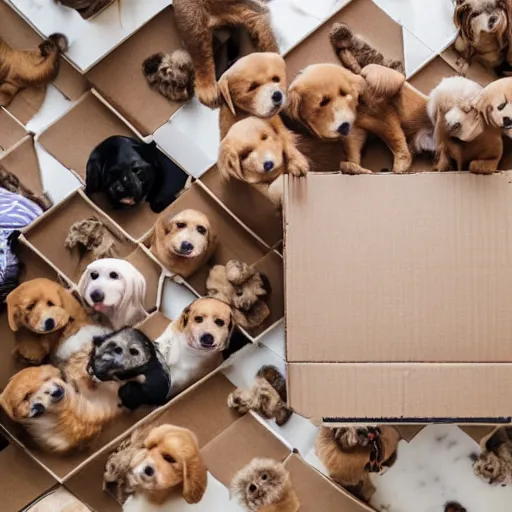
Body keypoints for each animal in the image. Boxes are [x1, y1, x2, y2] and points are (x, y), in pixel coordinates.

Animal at [286, 63, 434, 175]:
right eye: (322, 103)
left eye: (343, 93)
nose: (343, 126)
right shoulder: (357, 127)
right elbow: (354, 143)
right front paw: (353, 166)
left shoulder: (383, 110)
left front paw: (400, 165)